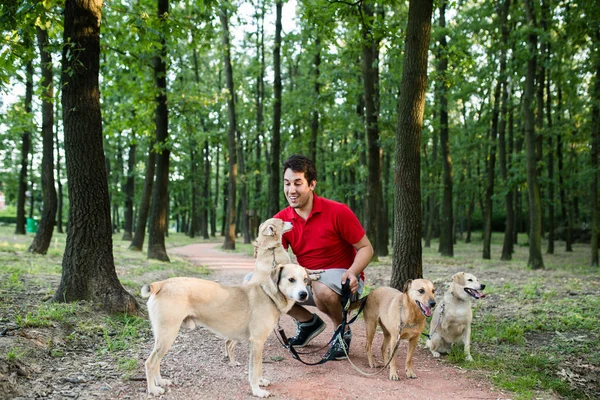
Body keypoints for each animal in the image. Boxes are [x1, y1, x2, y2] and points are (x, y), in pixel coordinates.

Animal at [141, 262, 310, 396]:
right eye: (291, 279)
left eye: (305, 279)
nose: (304, 294)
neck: (268, 295)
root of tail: (162, 283)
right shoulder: (256, 342)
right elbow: (253, 371)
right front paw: (257, 390)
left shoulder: (260, 343)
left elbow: (259, 367)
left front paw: (261, 382)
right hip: (168, 335)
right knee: (150, 362)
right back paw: (153, 390)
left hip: (163, 337)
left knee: (157, 361)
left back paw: (160, 382)